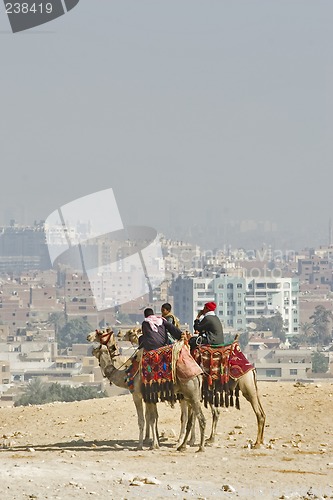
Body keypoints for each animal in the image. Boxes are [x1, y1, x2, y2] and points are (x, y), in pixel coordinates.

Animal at [122, 326, 264, 448]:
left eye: (131, 332)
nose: (120, 334)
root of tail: (250, 367)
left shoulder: (184, 396)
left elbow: (185, 418)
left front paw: (183, 441)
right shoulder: (185, 396)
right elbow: (188, 417)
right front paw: (188, 441)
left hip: (247, 386)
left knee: (257, 413)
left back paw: (256, 443)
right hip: (247, 388)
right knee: (223, 412)